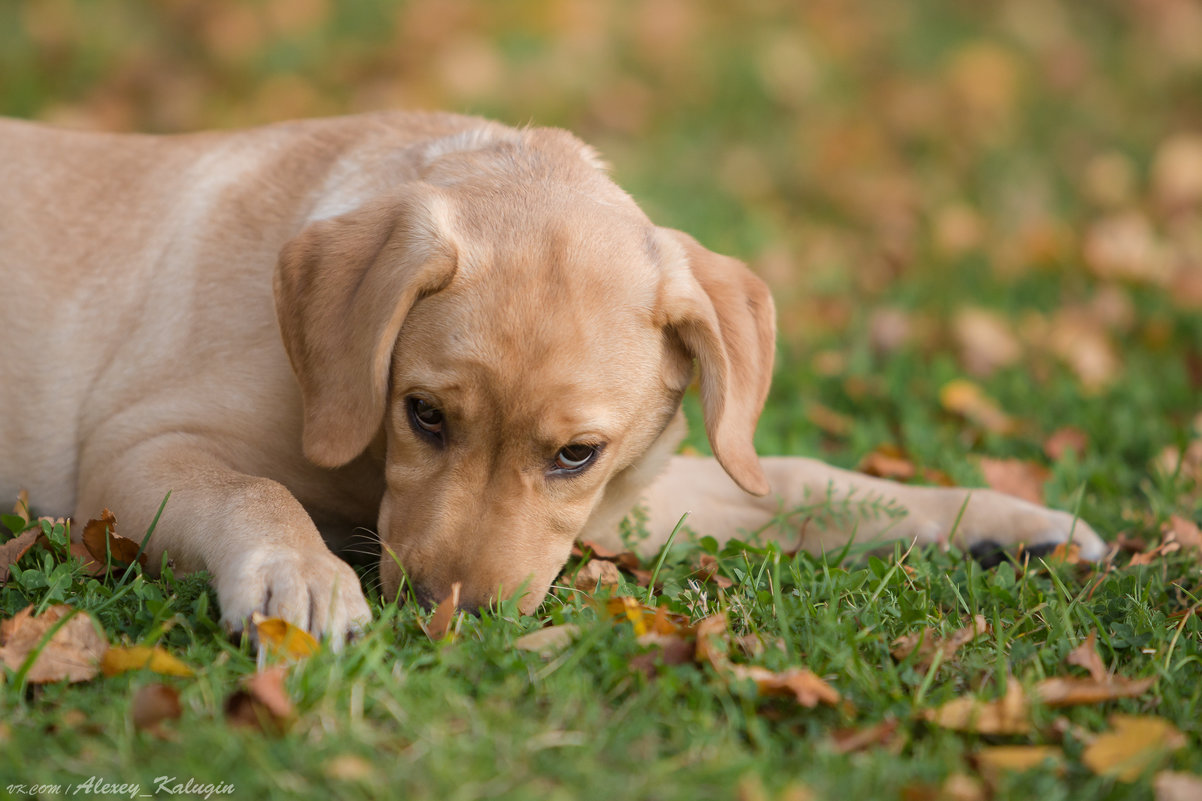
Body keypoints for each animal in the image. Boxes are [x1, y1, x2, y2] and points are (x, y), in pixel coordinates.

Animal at [0, 110, 1105, 635]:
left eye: (575, 454)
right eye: (422, 414)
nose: (448, 615)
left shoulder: (627, 495)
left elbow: (811, 483)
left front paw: (1005, 520)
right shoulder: (133, 454)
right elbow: (256, 491)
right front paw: (298, 578)